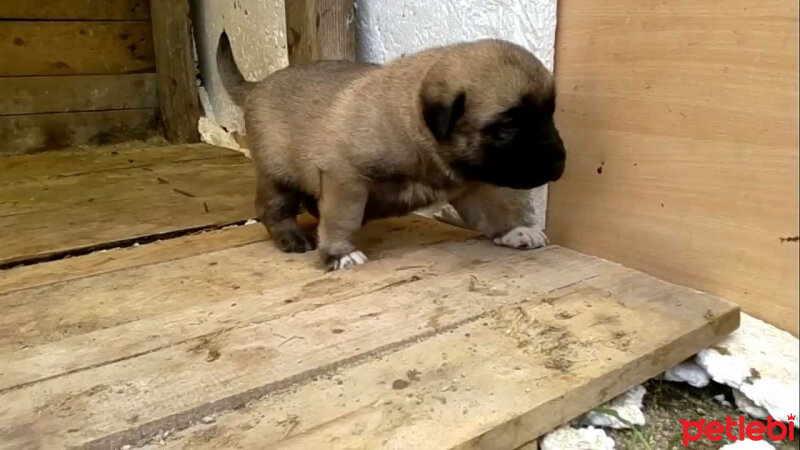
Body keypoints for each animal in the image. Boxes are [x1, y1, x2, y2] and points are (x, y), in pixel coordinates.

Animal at [216, 33, 564, 270]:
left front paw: (515, 230)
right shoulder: (346, 178)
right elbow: (342, 217)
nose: (560, 163)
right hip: (277, 173)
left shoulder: (470, 185)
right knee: (273, 208)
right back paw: (291, 236)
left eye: (549, 115)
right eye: (507, 127)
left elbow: (494, 211)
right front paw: (340, 252)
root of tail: (257, 84)